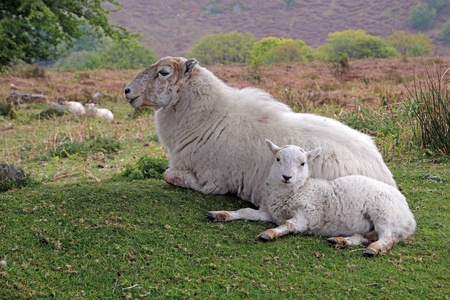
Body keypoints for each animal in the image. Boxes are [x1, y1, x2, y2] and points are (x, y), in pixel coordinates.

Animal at [125, 56, 396, 206]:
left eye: (163, 72)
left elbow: (168, 174)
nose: (127, 91)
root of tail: (384, 174)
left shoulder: (211, 182)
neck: (208, 117)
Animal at [206, 139, 416, 256]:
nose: (287, 177)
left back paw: (374, 249)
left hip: (384, 214)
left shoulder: (307, 215)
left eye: (302, 163)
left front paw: (270, 233)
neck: (298, 190)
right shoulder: (269, 212)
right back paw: (341, 241)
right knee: (363, 237)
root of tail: (410, 218)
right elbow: (245, 211)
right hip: (372, 224)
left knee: (388, 239)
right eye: (277, 159)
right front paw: (220, 215)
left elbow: (289, 224)